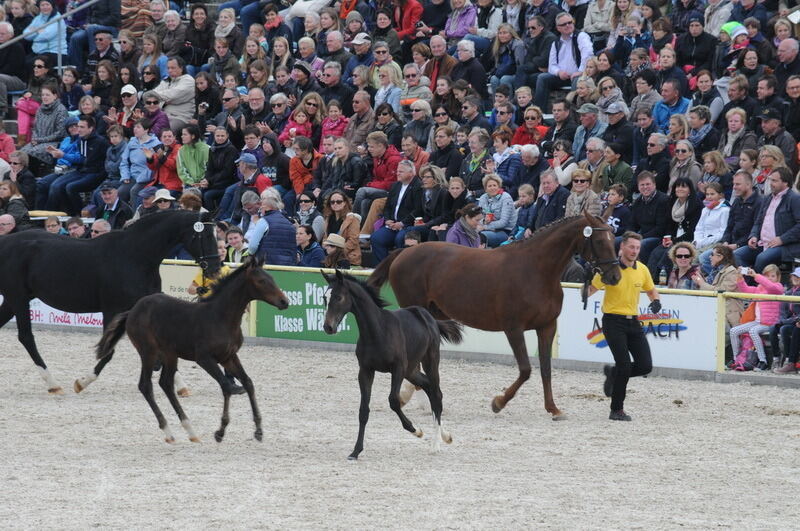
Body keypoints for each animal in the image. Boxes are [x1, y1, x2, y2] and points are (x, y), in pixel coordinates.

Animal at [0, 211, 220, 394]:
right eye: (206, 236)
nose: (215, 268)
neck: (134, 256)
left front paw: (181, 386)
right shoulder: (112, 310)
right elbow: (108, 353)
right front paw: (82, 383)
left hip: (13, 301)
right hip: (18, 298)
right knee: (26, 337)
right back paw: (53, 384)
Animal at [96, 258, 290, 444]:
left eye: (273, 278)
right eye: (261, 281)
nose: (285, 302)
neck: (220, 317)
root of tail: (132, 310)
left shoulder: (228, 357)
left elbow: (248, 383)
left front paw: (258, 430)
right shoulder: (204, 359)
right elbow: (226, 386)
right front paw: (220, 431)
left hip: (170, 354)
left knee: (165, 383)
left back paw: (190, 430)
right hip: (148, 351)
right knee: (145, 385)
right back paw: (169, 431)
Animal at [322, 272, 462, 460]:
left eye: (339, 297)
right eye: (324, 298)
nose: (328, 327)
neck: (378, 331)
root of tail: (428, 317)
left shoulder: (398, 369)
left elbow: (393, 401)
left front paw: (416, 430)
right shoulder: (365, 371)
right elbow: (363, 411)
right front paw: (356, 451)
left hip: (430, 361)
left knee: (437, 394)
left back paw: (436, 444)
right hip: (411, 370)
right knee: (428, 388)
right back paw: (446, 436)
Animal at [370, 212, 624, 420]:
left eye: (613, 238)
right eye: (599, 241)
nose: (615, 276)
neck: (536, 270)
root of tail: (405, 251)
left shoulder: (547, 327)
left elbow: (546, 369)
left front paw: (553, 409)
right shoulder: (513, 328)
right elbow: (526, 370)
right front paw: (498, 403)